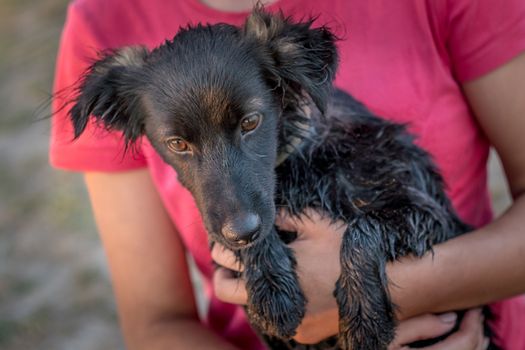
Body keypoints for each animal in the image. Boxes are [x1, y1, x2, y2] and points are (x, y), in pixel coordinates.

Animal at [66, 6, 496, 348]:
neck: (297, 168)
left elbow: (362, 230)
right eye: (177, 144)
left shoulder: (430, 213)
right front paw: (272, 289)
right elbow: (244, 235)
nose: (242, 230)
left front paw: (364, 320)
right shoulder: (226, 228)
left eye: (251, 122)